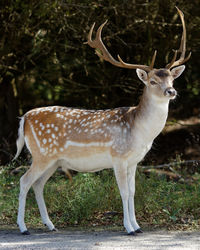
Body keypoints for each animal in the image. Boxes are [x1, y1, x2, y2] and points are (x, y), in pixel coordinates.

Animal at [14, 7, 191, 234]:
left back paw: (50, 225)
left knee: (38, 184)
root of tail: (25, 118)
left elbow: (133, 192)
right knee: (24, 181)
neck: (139, 132)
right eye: (152, 81)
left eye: (171, 79)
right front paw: (129, 228)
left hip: (54, 160)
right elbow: (123, 192)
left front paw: (138, 226)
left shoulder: (134, 161)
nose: (171, 91)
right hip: (41, 154)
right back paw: (23, 227)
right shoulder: (118, 156)